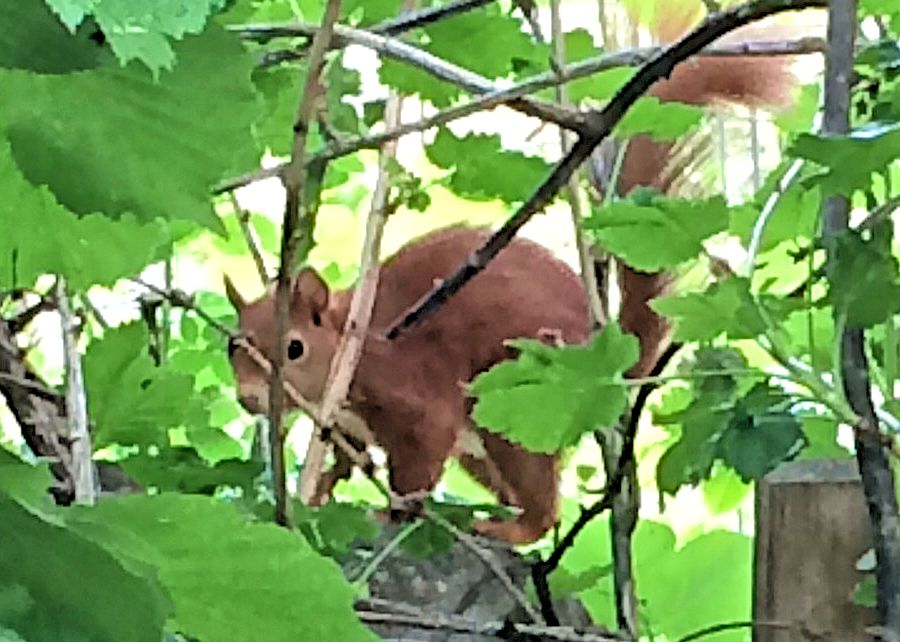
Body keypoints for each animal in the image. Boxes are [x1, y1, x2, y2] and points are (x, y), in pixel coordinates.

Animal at [229, 50, 800, 544]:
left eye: (294, 348)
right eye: (232, 347)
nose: (249, 399)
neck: (353, 339)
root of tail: (610, 355)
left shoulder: (409, 385)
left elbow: (418, 458)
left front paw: (391, 511)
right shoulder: (348, 424)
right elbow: (349, 458)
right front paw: (320, 490)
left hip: (524, 406)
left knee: (543, 509)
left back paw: (509, 529)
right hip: (490, 443)